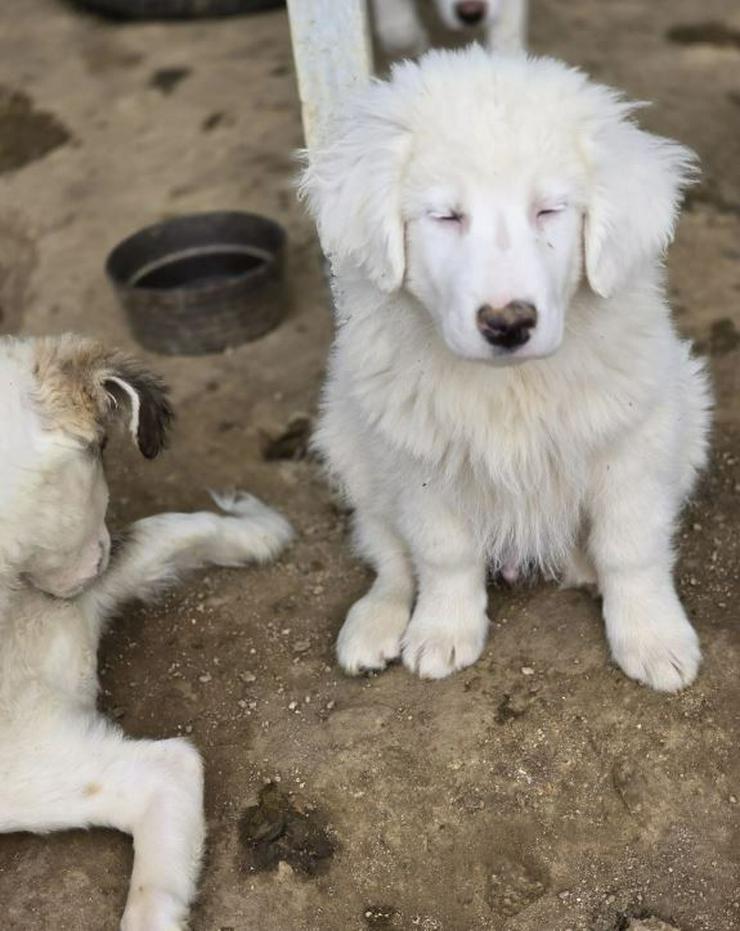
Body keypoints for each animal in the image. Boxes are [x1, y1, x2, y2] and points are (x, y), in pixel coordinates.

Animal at [300, 49, 712, 692]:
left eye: (548, 210)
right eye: (446, 216)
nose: (508, 323)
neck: (511, 383)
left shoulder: (635, 442)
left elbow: (631, 546)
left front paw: (653, 637)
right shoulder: (416, 454)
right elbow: (442, 553)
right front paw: (442, 631)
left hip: (690, 413)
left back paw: (582, 564)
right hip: (350, 441)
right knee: (387, 550)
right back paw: (374, 624)